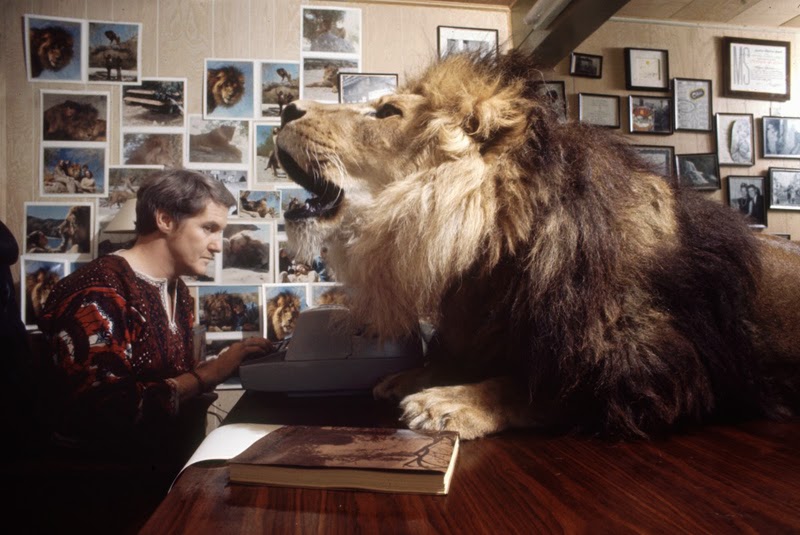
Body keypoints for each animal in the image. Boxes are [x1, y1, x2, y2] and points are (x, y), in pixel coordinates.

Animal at [274, 51, 800, 441]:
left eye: (386, 112)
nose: (285, 108)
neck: (495, 246)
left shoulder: (656, 369)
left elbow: (533, 387)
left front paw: (451, 400)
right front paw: (409, 376)